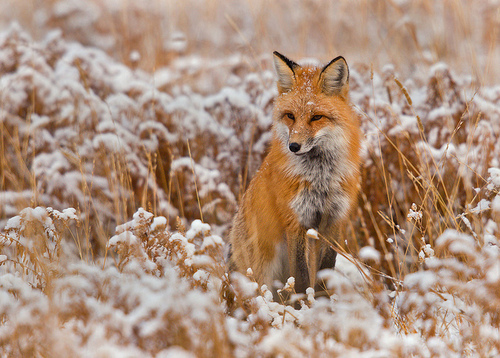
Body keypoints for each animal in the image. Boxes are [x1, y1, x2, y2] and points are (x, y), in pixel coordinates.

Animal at [229, 52, 362, 294]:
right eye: (290, 116)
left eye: (316, 117)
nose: (293, 146)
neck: (320, 179)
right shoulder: (295, 220)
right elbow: (300, 277)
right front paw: (302, 302)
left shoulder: (334, 220)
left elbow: (325, 270)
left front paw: (322, 300)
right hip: (263, 268)